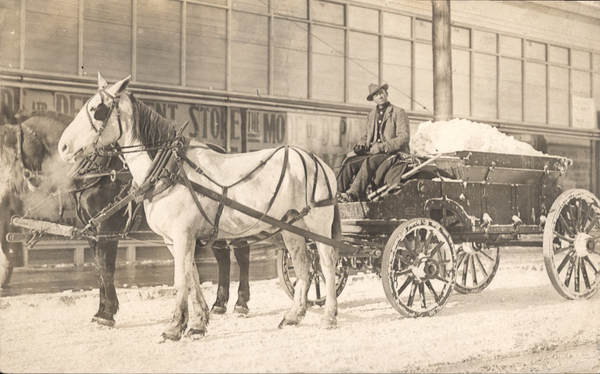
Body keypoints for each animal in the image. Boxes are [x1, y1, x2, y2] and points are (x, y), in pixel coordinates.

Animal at [59, 74, 342, 342]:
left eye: (97, 109)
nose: (63, 146)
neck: (168, 170)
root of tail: (318, 161)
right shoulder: (173, 239)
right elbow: (191, 276)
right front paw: (197, 324)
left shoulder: (179, 234)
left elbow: (179, 279)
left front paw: (174, 327)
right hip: (292, 227)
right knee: (304, 267)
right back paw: (293, 315)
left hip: (319, 226)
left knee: (327, 265)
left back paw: (328, 316)